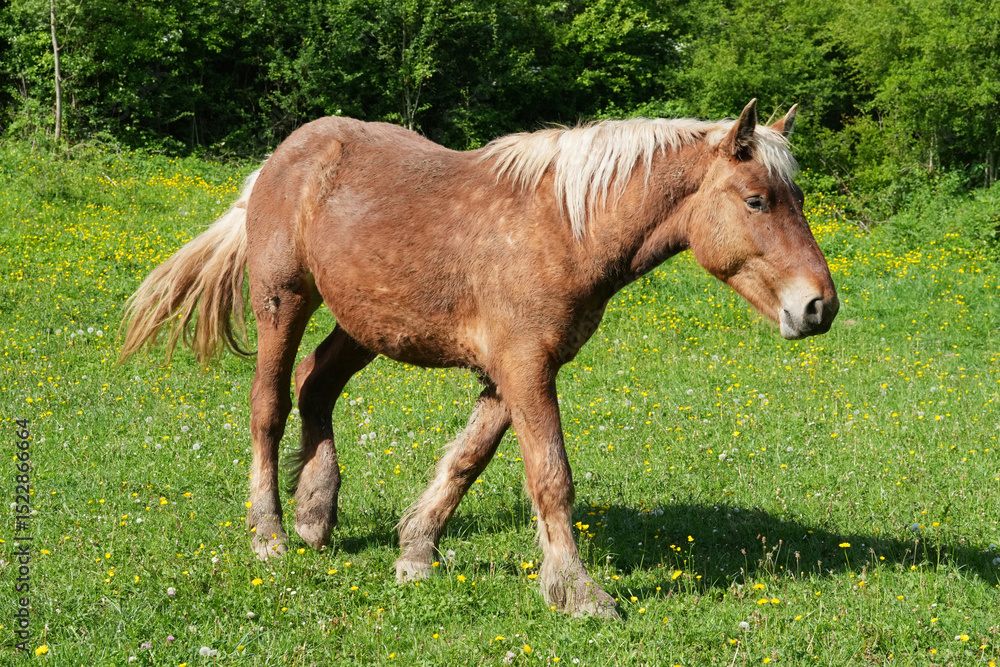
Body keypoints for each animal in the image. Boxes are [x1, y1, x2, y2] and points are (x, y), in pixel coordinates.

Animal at [119, 100, 838, 618]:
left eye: (799, 199)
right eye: (756, 200)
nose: (818, 307)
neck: (566, 227)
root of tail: (283, 156)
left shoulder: (512, 371)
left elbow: (468, 460)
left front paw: (415, 552)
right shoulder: (524, 367)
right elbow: (550, 475)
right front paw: (578, 591)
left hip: (365, 324)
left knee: (314, 387)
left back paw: (314, 511)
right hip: (284, 300)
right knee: (268, 404)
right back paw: (268, 531)